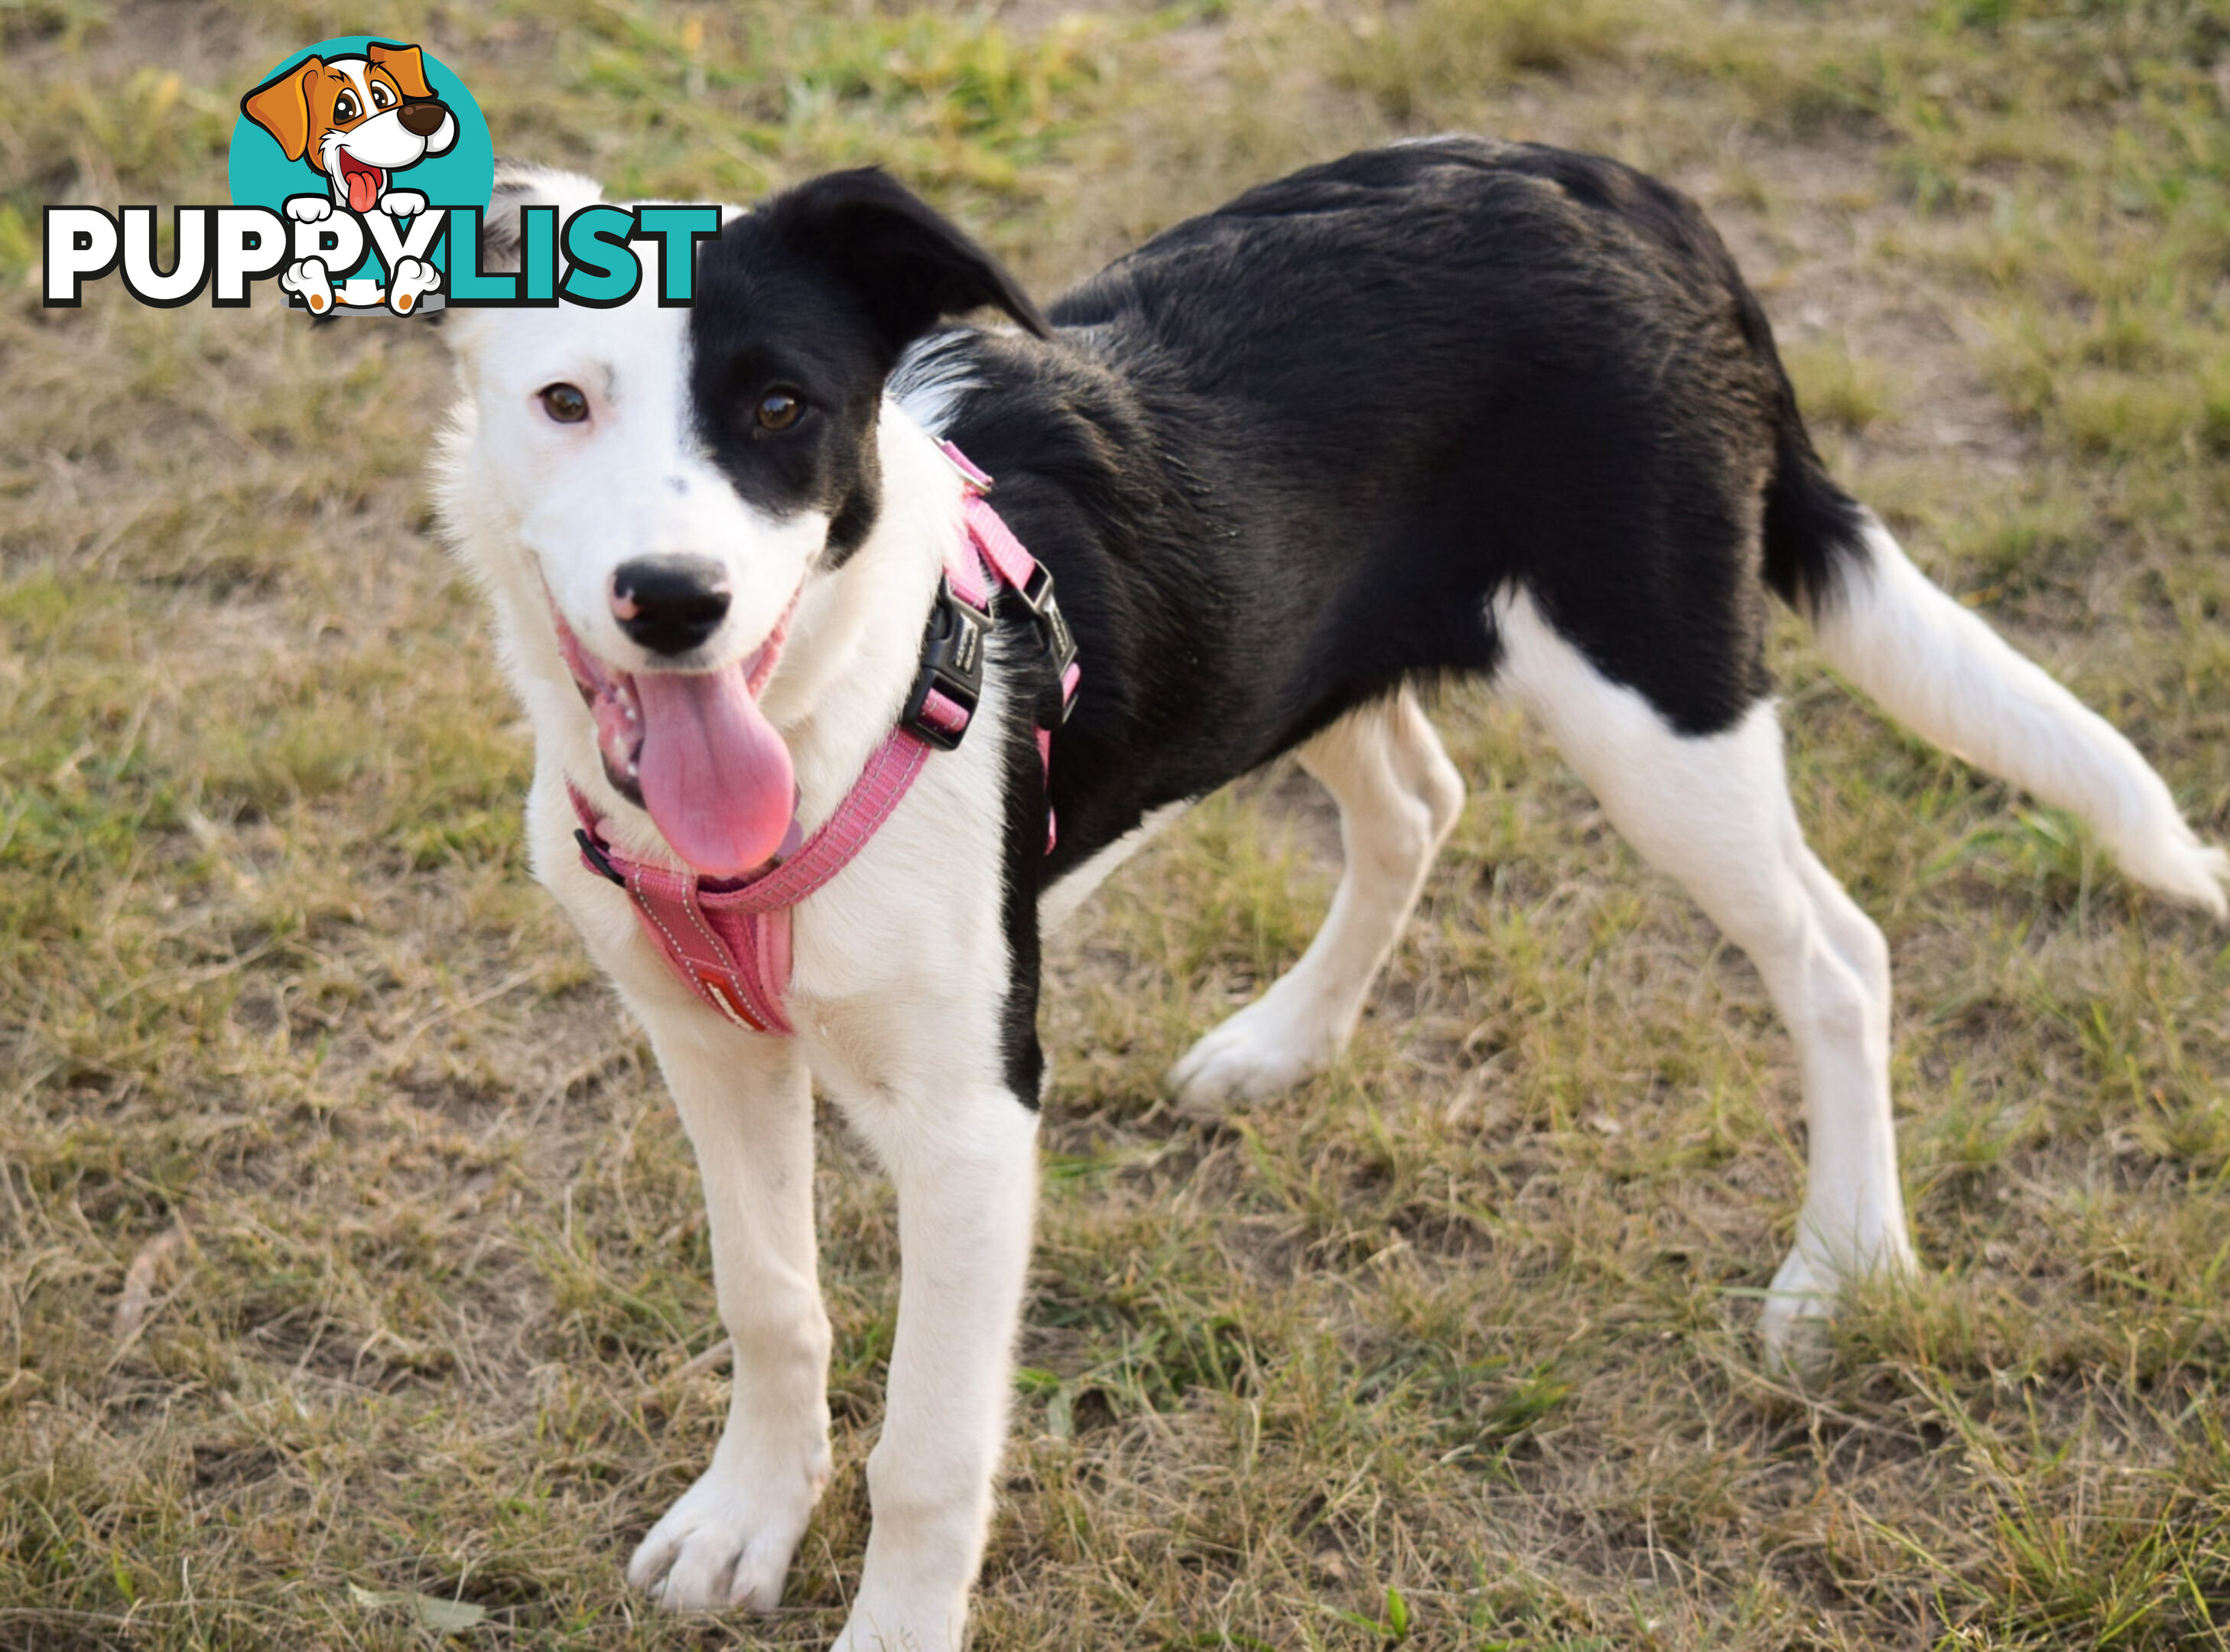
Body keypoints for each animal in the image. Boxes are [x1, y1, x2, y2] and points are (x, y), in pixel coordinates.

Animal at [439, 145, 2230, 1650]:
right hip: (1313, 650)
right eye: (563, 401)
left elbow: (931, 1455)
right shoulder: (707, 1041)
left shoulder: (971, 1119)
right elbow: (769, 1299)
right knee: (1421, 804)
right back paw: (1283, 1045)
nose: (674, 602)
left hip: (1656, 703)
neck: (829, 704)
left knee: (1836, 954)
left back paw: (1840, 1268)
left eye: (782, 406)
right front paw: (746, 1520)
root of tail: (1627, 192)